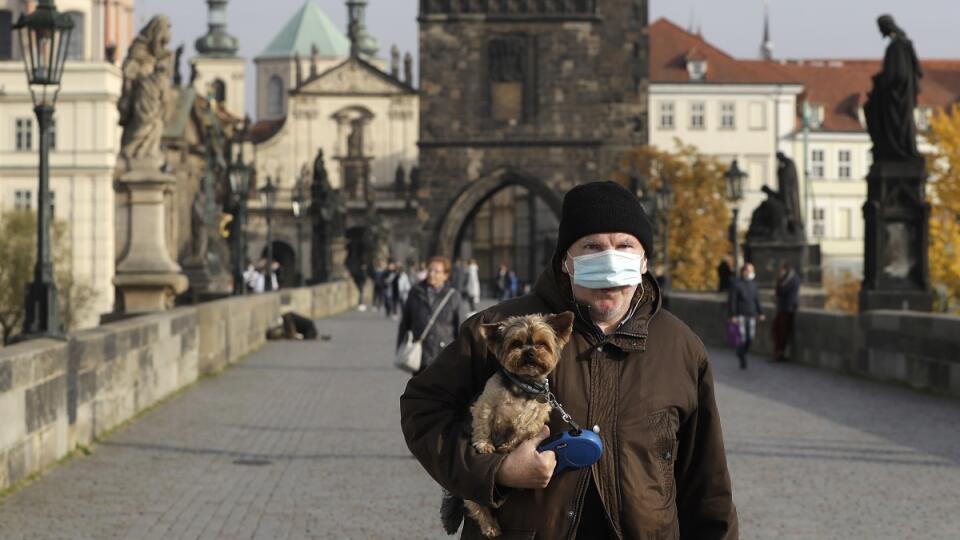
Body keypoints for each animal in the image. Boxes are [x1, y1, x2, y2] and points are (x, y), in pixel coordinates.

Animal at [440, 310, 572, 536]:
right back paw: (490, 526)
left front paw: (508, 446)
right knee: (476, 503)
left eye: (542, 344)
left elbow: (522, 433)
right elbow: (482, 424)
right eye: (516, 343)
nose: (529, 352)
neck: (524, 385)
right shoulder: (485, 404)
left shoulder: (536, 419)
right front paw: (485, 445)